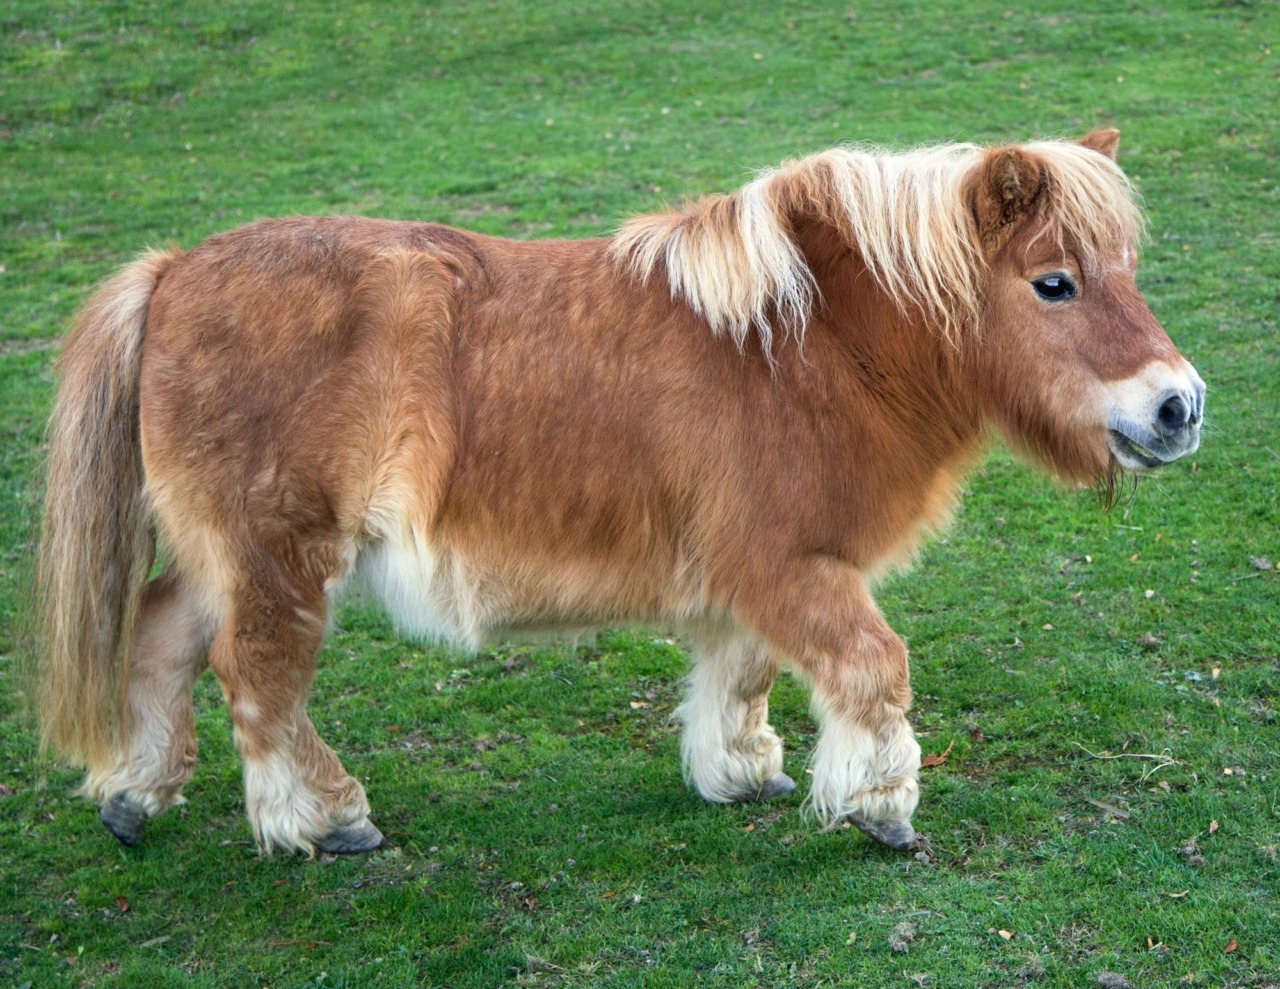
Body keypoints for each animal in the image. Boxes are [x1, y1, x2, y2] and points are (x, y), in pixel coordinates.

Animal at [37, 129, 1204, 856]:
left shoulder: (751, 580)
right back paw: (323, 819)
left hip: (225, 557)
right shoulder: (791, 564)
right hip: (279, 555)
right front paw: (879, 807)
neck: (805, 347)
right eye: (1053, 282)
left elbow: (741, 674)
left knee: (161, 639)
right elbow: (874, 667)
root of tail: (173, 270)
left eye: (1126, 268)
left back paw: (136, 796)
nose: (1178, 406)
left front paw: (741, 772)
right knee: (258, 676)